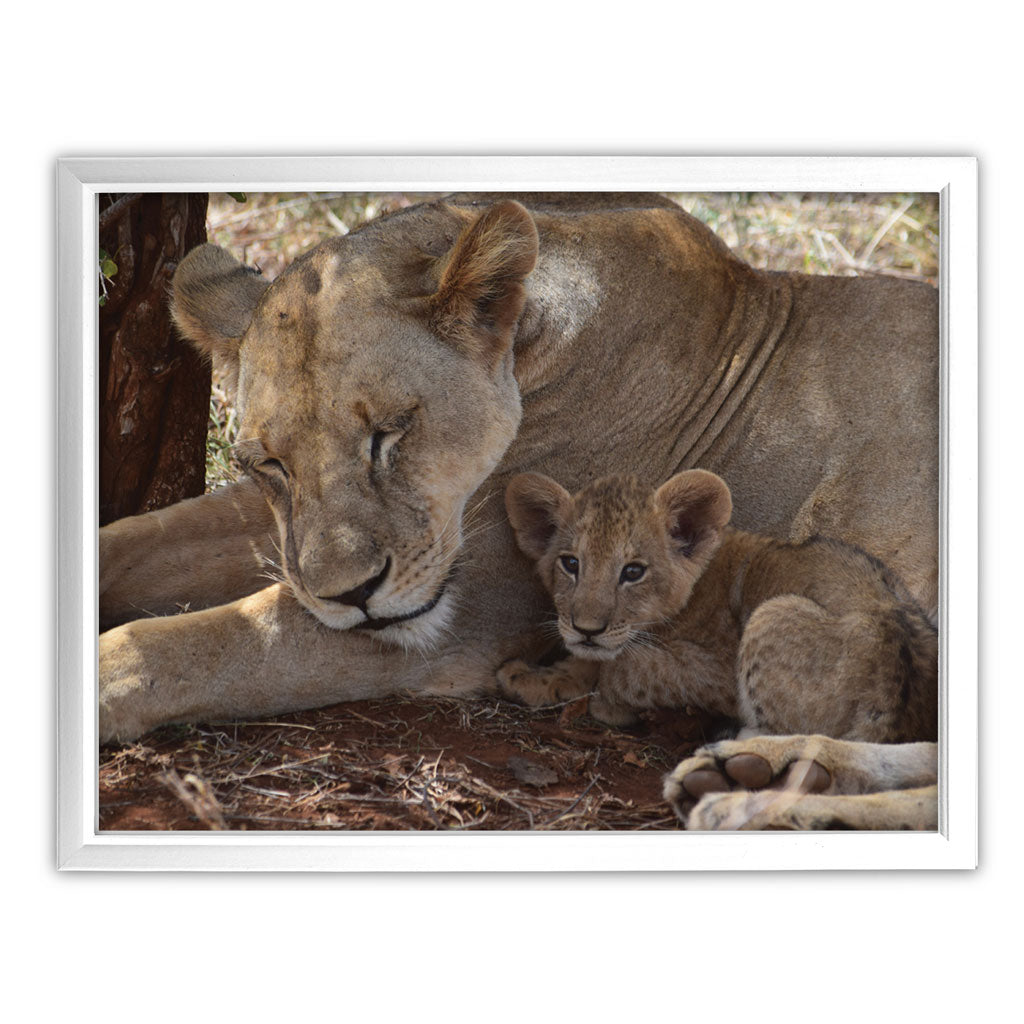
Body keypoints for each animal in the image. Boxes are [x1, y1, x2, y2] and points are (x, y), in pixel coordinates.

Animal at [498, 469, 938, 829]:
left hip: (772, 612)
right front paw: (539, 676)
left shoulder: (718, 670)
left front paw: (598, 698)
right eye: (570, 563)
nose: (586, 628)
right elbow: (600, 658)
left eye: (633, 572)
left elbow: (625, 665)